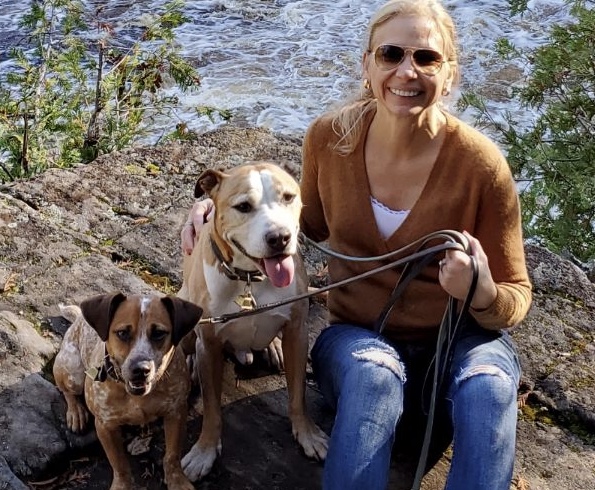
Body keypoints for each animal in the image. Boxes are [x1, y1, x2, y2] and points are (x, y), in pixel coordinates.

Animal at [53, 292, 203, 490]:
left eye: (159, 333)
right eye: (122, 333)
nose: (141, 369)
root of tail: (78, 319)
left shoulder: (176, 412)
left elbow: (172, 455)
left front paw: (177, 481)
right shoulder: (105, 425)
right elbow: (119, 464)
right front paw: (122, 485)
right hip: (73, 372)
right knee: (66, 390)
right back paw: (76, 412)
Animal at [179, 162, 328, 482]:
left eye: (288, 197)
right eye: (243, 206)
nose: (279, 237)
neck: (250, 278)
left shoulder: (297, 333)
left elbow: (298, 394)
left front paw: (307, 434)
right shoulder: (209, 346)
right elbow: (211, 408)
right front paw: (204, 450)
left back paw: (272, 348)